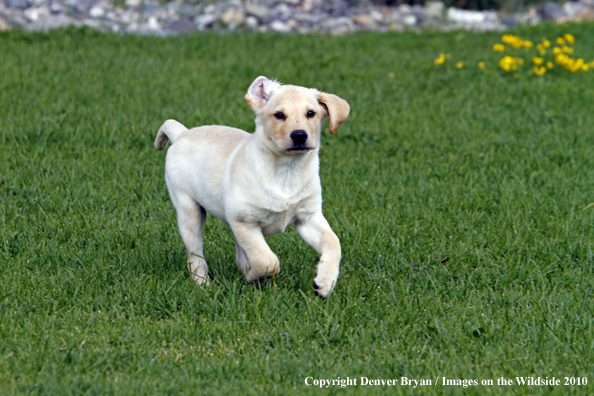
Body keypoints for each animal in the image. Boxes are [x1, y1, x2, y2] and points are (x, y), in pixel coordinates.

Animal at [154, 76, 346, 296]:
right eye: (279, 115)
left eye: (311, 113)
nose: (299, 136)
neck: (287, 171)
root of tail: (182, 134)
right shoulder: (244, 221)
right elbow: (268, 261)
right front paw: (255, 277)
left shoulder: (308, 217)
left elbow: (333, 243)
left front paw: (324, 282)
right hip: (189, 211)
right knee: (195, 255)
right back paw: (203, 284)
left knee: (239, 255)